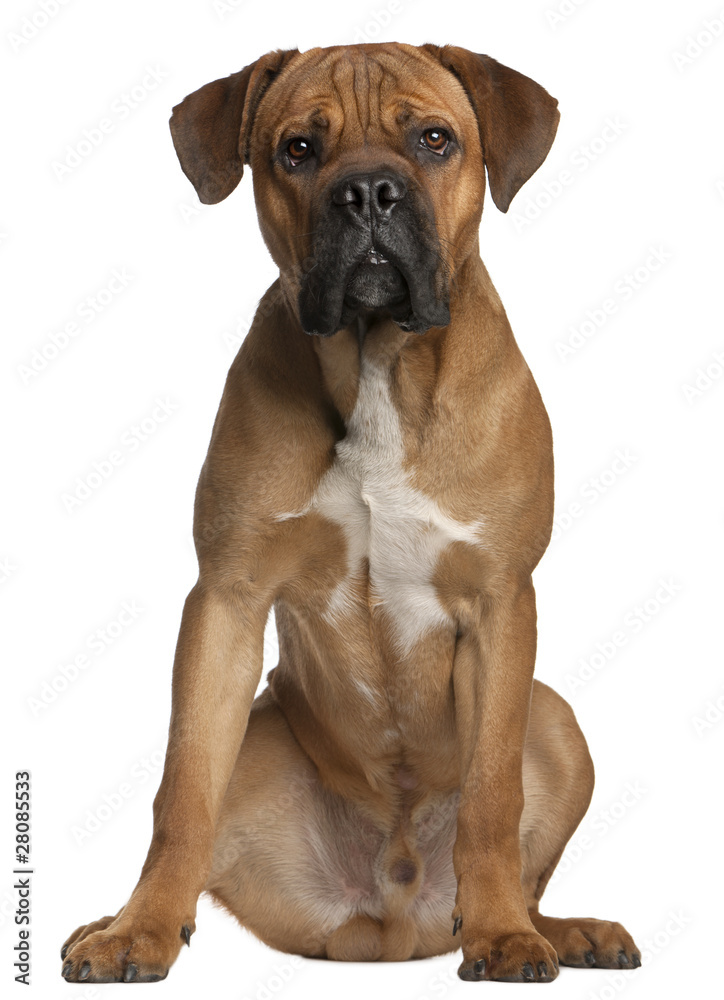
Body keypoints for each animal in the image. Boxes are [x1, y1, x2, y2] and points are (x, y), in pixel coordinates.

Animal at [60, 45, 640, 984]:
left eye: (434, 139)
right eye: (298, 149)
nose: (367, 192)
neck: (377, 364)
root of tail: (393, 913)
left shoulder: (501, 604)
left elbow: (491, 799)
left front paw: (504, 936)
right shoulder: (226, 601)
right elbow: (180, 793)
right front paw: (137, 930)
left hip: (555, 718)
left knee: (522, 857)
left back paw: (556, 929)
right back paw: (122, 918)